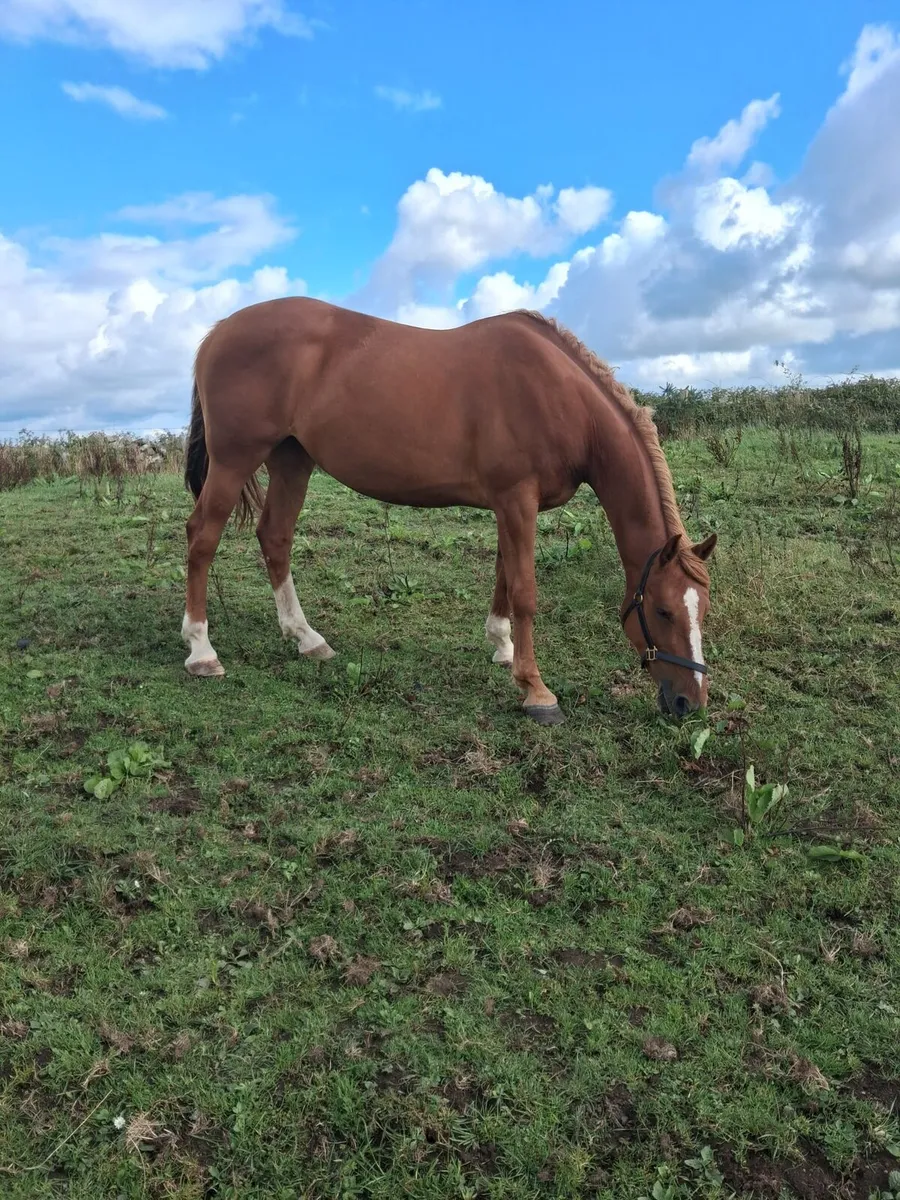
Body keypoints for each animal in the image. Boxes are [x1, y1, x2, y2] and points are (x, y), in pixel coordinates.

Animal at [182, 297, 716, 724]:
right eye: (663, 610)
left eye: (702, 609)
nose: (690, 702)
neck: (558, 395)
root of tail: (218, 332)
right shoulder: (516, 499)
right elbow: (525, 591)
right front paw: (536, 690)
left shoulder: (511, 505)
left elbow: (504, 577)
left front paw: (503, 647)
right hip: (234, 459)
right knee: (201, 537)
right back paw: (202, 651)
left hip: (292, 459)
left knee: (275, 536)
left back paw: (307, 638)